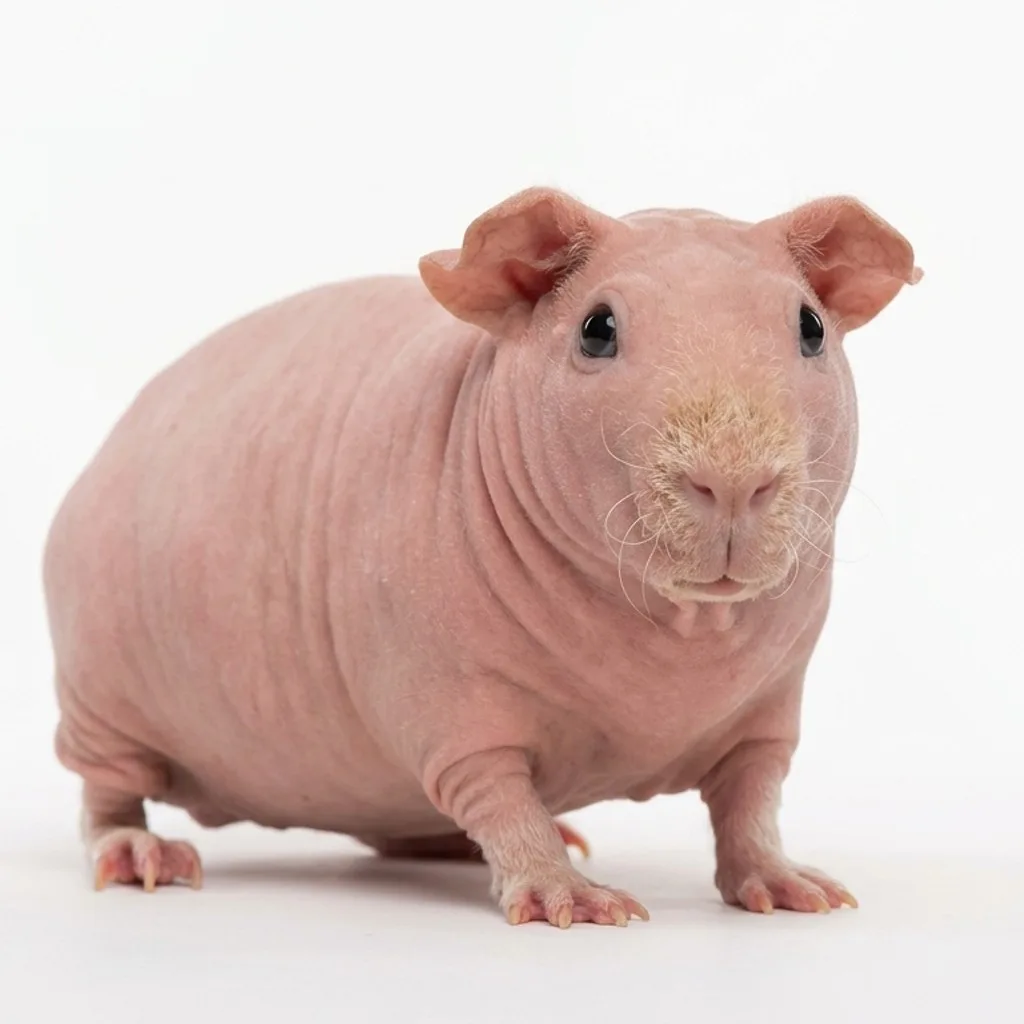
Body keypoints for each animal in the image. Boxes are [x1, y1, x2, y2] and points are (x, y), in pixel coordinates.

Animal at [42, 186, 922, 926]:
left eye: (810, 327)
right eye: (597, 329)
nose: (733, 483)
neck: (679, 627)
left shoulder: (773, 700)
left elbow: (752, 795)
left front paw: (786, 880)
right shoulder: (445, 695)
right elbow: (499, 794)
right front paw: (568, 892)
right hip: (97, 692)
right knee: (105, 792)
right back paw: (139, 851)